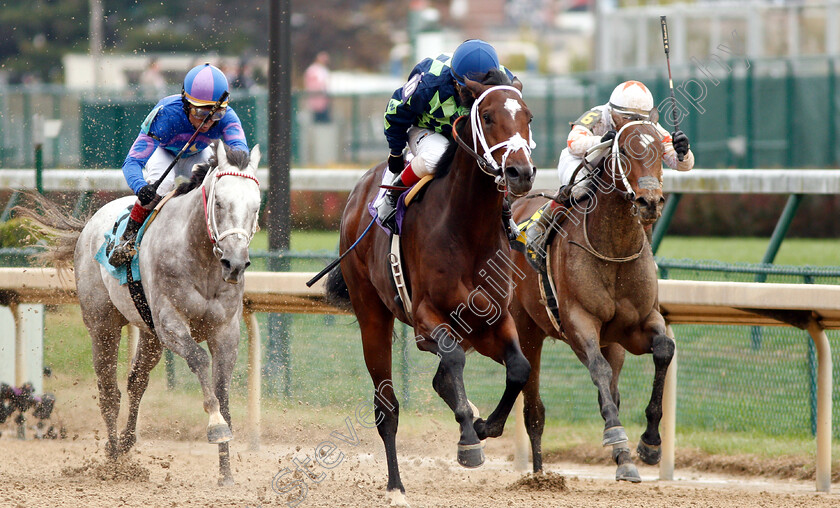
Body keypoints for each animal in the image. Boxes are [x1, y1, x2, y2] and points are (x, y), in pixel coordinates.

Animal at [18, 142, 260, 484]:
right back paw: (113, 458)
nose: (235, 264)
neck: (200, 257)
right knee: (109, 390)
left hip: (149, 333)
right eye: (219, 203)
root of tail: (91, 223)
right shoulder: (170, 322)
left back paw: (126, 443)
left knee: (136, 382)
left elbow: (222, 388)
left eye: (256, 206)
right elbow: (199, 360)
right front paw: (215, 426)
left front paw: (226, 471)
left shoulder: (225, 330)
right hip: (103, 324)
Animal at [328, 70, 540, 504]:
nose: (520, 172)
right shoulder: (427, 313)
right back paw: (395, 485)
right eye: (488, 117)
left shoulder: (492, 318)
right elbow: (454, 361)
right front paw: (469, 440)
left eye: (526, 116)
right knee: (387, 407)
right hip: (372, 315)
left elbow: (518, 368)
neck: (468, 228)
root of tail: (358, 192)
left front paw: (485, 426)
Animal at [506, 118, 676, 480]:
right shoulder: (577, 321)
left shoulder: (637, 325)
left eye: (661, 147)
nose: (649, 202)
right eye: (624, 149)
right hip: (527, 329)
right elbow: (598, 369)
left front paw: (649, 444)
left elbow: (663, 350)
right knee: (534, 410)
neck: (615, 249)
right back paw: (539, 475)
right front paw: (618, 439)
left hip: (611, 342)